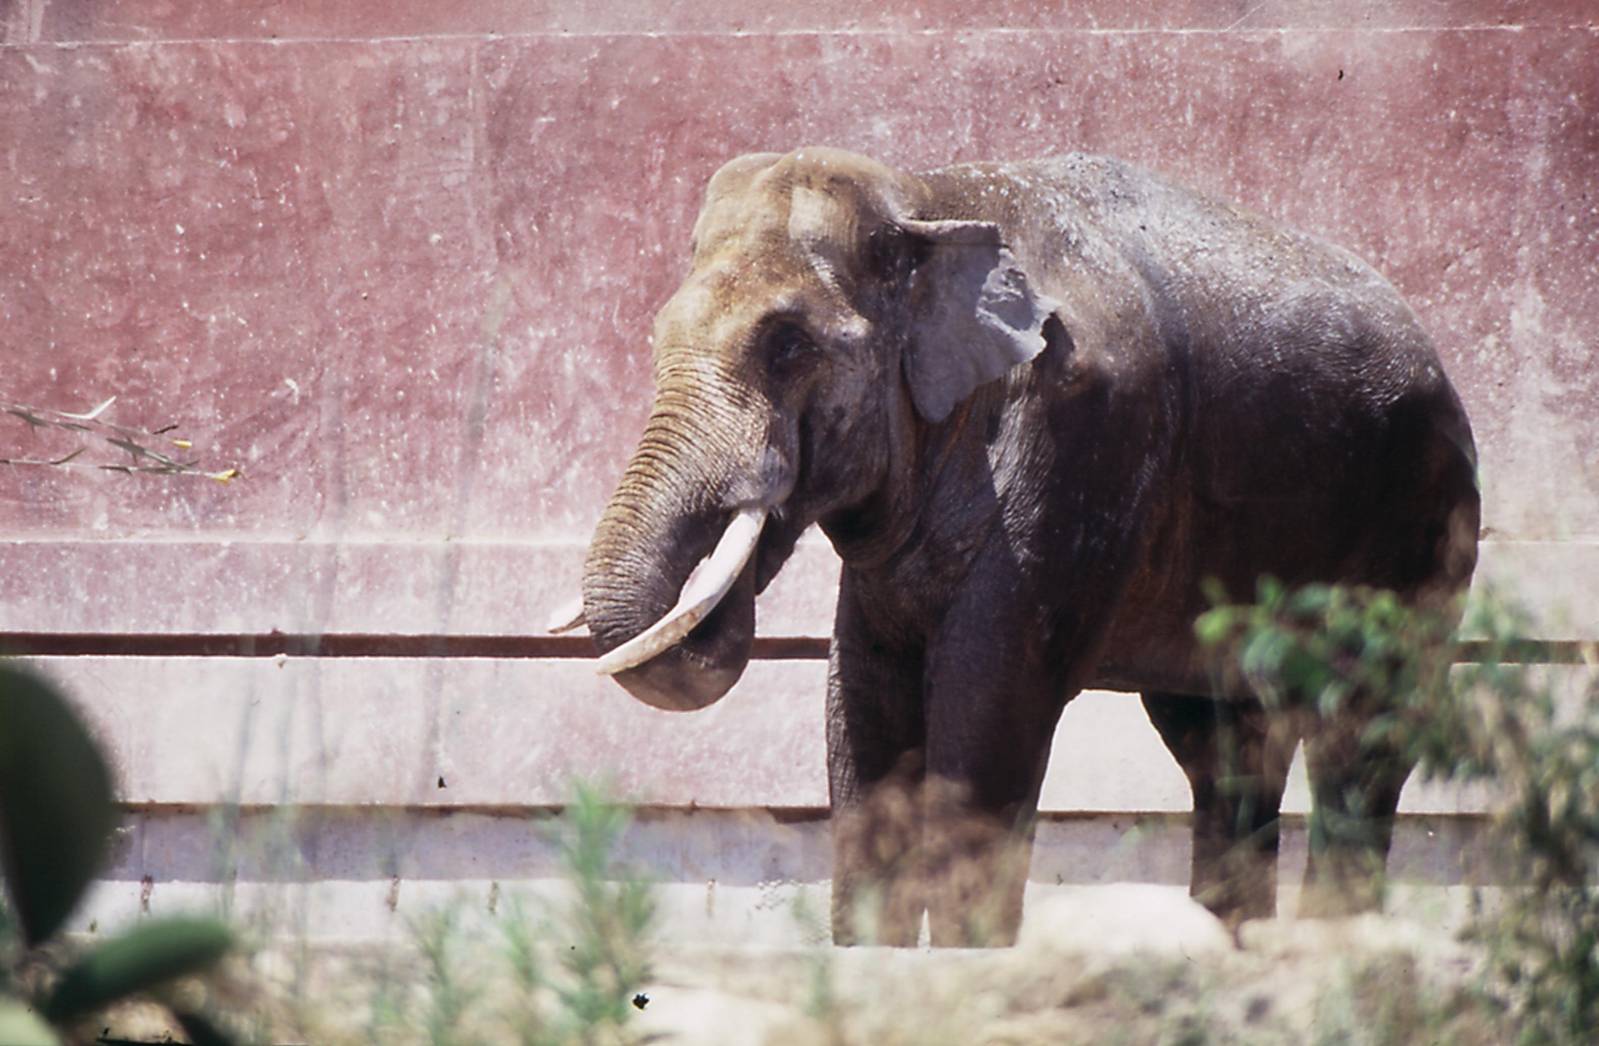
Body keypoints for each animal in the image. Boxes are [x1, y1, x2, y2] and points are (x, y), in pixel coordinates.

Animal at [567, 147, 1480, 946]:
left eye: (786, 344)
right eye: (655, 336)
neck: (927, 198)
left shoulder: (1079, 441)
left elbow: (986, 713)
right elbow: (862, 712)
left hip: (1421, 525)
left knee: (1359, 737)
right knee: (1223, 746)